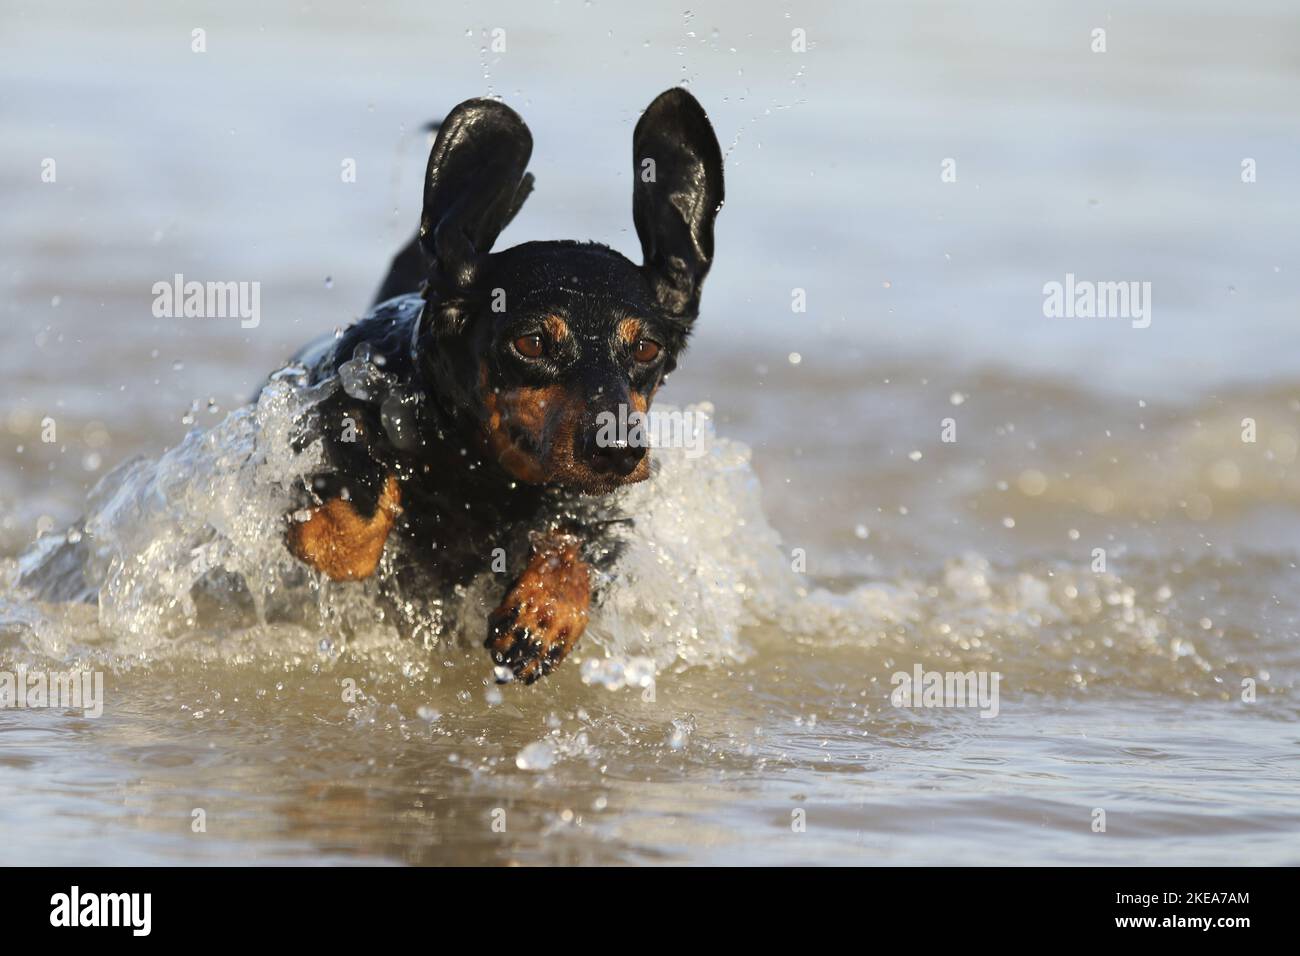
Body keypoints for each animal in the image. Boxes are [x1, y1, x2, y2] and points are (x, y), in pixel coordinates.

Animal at [282, 89, 722, 686]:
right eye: (532, 342)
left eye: (647, 349)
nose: (617, 450)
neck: (485, 477)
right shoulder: (332, 412)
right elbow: (351, 526)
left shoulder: (600, 508)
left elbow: (577, 536)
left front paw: (545, 609)